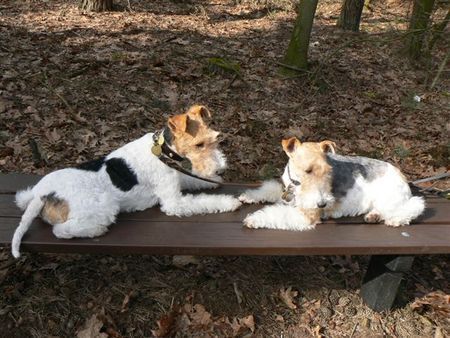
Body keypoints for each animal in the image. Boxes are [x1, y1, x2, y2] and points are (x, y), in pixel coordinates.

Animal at [11, 104, 243, 258]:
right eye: (199, 144)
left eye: (216, 139)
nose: (220, 168)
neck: (162, 151)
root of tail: (41, 194)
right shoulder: (173, 201)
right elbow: (203, 201)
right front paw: (229, 201)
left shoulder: (178, 178)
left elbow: (193, 179)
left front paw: (212, 180)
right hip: (103, 206)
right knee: (60, 230)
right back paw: (96, 230)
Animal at [239, 137, 426, 230]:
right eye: (308, 170)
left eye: (328, 170)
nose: (322, 204)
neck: (296, 186)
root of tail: (402, 175)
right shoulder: (286, 189)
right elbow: (270, 190)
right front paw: (247, 196)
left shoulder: (307, 215)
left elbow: (276, 214)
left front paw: (253, 219)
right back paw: (373, 216)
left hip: (390, 199)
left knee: (416, 205)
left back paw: (395, 220)